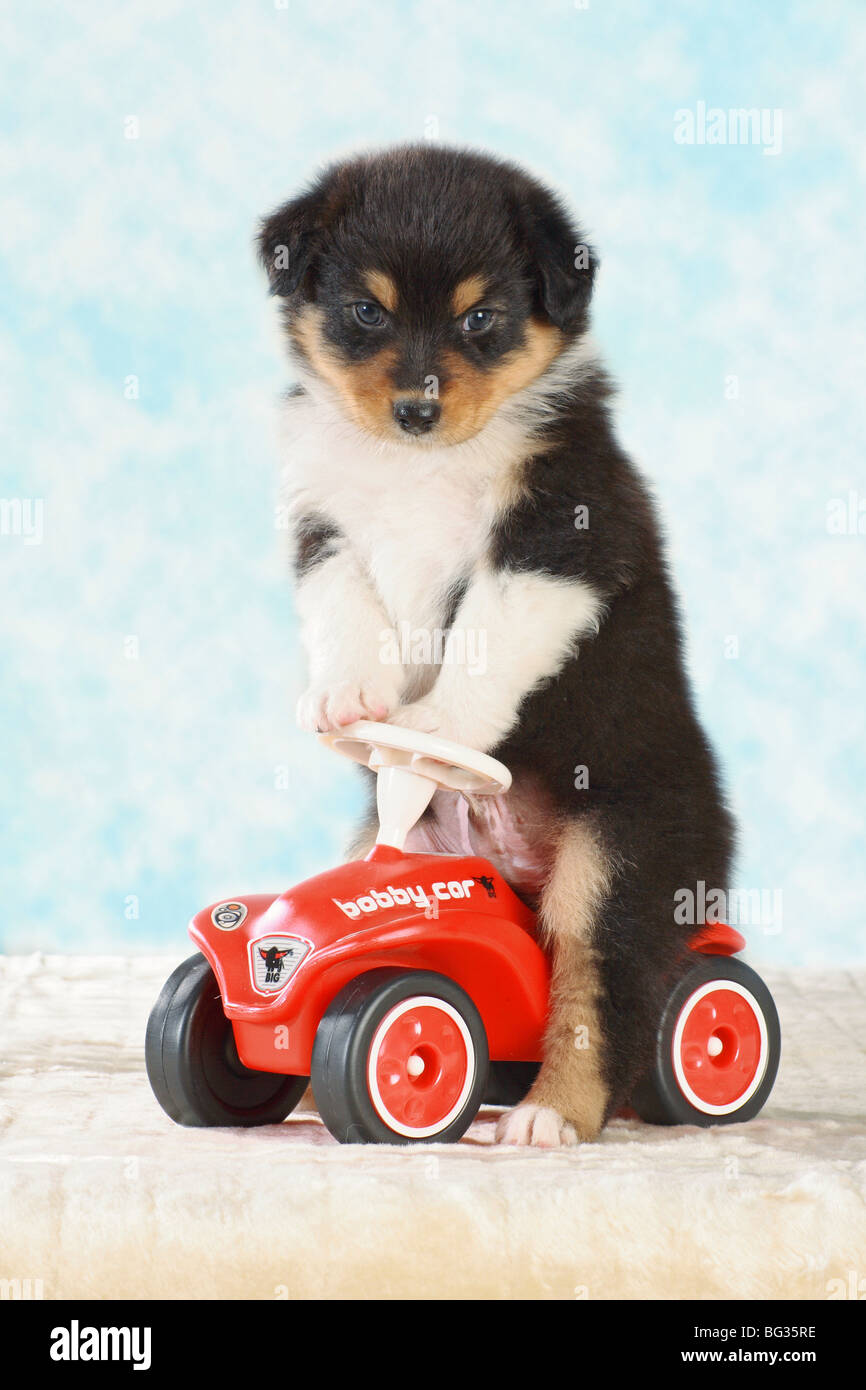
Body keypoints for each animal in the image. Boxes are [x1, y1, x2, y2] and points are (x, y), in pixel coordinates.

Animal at [257, 141, 733, 1145]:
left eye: (482, 318)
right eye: (367, 309)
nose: (416, 410)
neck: (421, 465)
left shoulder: (562, 538)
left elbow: (486, 635)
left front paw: (436, 726)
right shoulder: (326, 525)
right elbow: (346, 607)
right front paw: (349, 698)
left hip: (619, 856)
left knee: (604, 987)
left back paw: (549, 1115)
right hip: (403, 838)